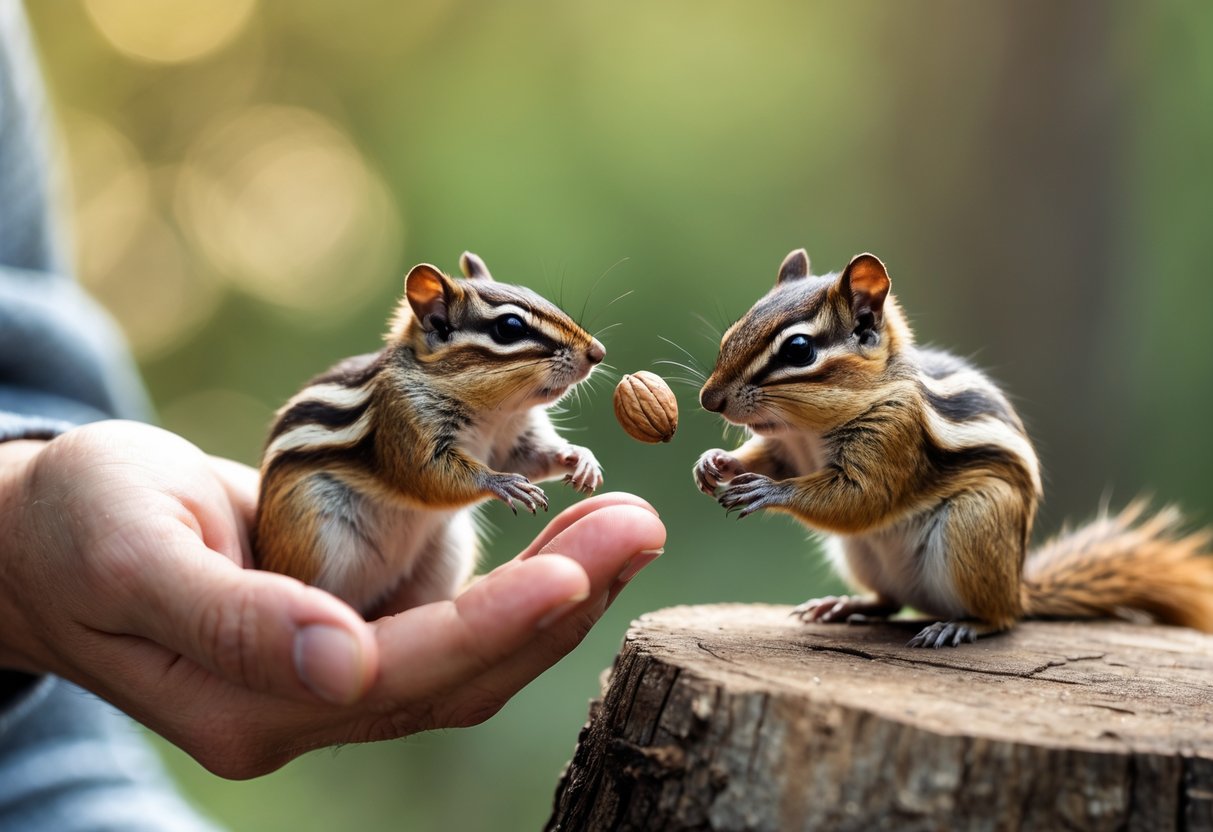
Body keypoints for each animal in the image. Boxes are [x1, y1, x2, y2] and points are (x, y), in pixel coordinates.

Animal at [253, 252, 606, 616]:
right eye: (510, 327)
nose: (598, 352)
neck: (493, 414)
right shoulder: (403, 421)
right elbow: (427, 474)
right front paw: (502, 483)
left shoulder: (514, 439)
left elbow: (533, 457)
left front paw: (580, 459)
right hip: (314, 533)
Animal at [694, 248, 1213, 647]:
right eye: (733, 332)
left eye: (799, 350)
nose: (708, 400)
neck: (806, 431)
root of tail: (1018, 588)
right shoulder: (787, 449)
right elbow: (768, 459)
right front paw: (713, 463)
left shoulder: (895, 437)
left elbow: (863, 498)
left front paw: (767, 491)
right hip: (862, 556)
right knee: (890, 602)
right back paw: (843, 604)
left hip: (975, 524)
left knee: (1002, 620)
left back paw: (959, 626)